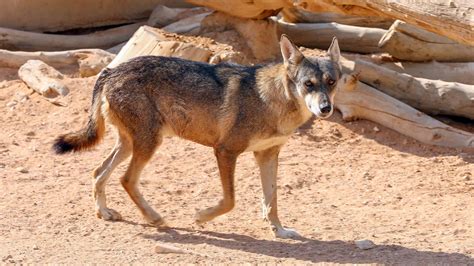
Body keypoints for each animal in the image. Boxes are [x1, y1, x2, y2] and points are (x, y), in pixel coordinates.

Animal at [52, 35, 340, 239]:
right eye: (308, 84)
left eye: (331, 82)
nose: (325, 109)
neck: (271, 101)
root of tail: (110, 71)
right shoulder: (225, 151)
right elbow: (230, 201)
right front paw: (201, 217)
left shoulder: (267, 155)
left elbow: (272, 200)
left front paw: (279, 231)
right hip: (148, 144)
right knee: (125, 179)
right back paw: (154, 218)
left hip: (130, 145)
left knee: (98, 172)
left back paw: (104, 212)